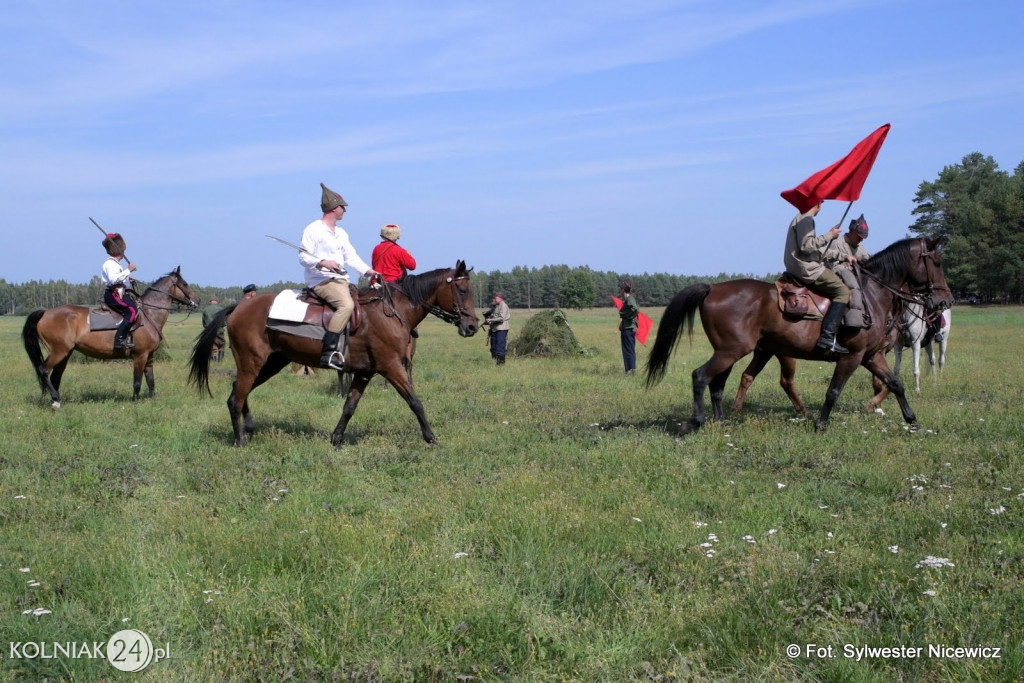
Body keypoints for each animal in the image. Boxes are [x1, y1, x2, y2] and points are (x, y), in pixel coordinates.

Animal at [22, 266, 199, 405]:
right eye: (185, 284)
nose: (197, 301)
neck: (149, 314)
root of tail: (45, 313)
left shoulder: (149, 356)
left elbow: (151, 380)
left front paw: (152, 400)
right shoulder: (140, 356)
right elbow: (137, 382)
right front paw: (135, 402)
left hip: (65, 353)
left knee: (55, 376)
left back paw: (56, 400)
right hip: (59, 351)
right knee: (43, 370)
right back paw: (55, 398)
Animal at [190, 262, 477, 448]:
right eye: (463, 291)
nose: (473, 326)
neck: (392, 311)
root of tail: (240, 306)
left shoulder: (364, 373)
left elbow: (349, 406)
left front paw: (336, 439)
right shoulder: (391, 367)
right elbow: (415, 402)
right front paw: (431, 438)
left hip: (270, 364)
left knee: (240, 391)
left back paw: (248, 430)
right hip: (252, 363)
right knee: (235, 398)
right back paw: (239, 440)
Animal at [647, 237, 950, 436]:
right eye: (936, 261)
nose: (944, 300)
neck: (872, 294)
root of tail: (713, 288)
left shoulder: (872, 356)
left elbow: (896, 384)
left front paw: (912, 421)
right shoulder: (852, 357)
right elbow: (834, 391)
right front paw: (821, 425)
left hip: (733, 351)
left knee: (718, 384)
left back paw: (721, 422)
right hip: (733, 351)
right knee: (701, 376)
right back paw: (696, 421)